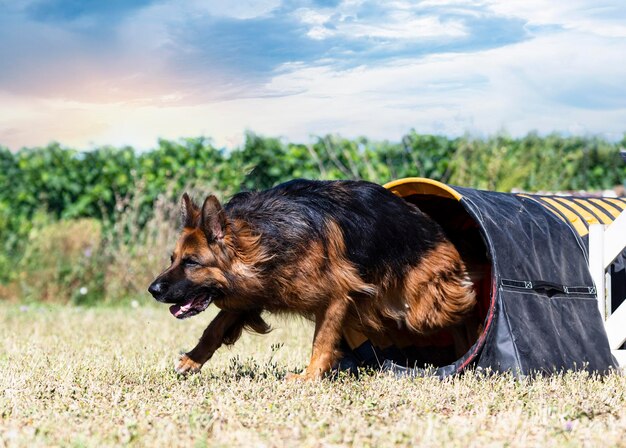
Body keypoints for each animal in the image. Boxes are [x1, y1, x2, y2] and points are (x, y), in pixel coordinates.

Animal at [150, 178, 472, 378]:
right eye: (172, 259)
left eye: (192, 262)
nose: (153, 289)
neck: (263, 238)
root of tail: (436, 230)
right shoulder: (255, 291)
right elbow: (213, 328)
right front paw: (192, 360)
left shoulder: (336, 297)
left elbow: (322, 340)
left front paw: (309, 377)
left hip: (421, 310)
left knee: (456, 311)